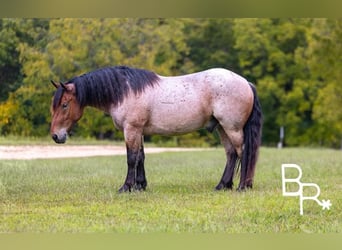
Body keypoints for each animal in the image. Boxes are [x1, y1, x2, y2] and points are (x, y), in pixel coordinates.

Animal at [49, 65, 264, 192]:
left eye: (64, 105)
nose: (56, 136)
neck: (124, 91)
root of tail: (246, 82)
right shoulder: (139, 131)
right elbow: (141, 157)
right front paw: (140, 186)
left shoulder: (131, 130)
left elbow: (131, 158)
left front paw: (126, 187)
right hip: (222, 128)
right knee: (231, 154)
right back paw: (222, 185)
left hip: (232, 128)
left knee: (243, 152)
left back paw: (243, 186)